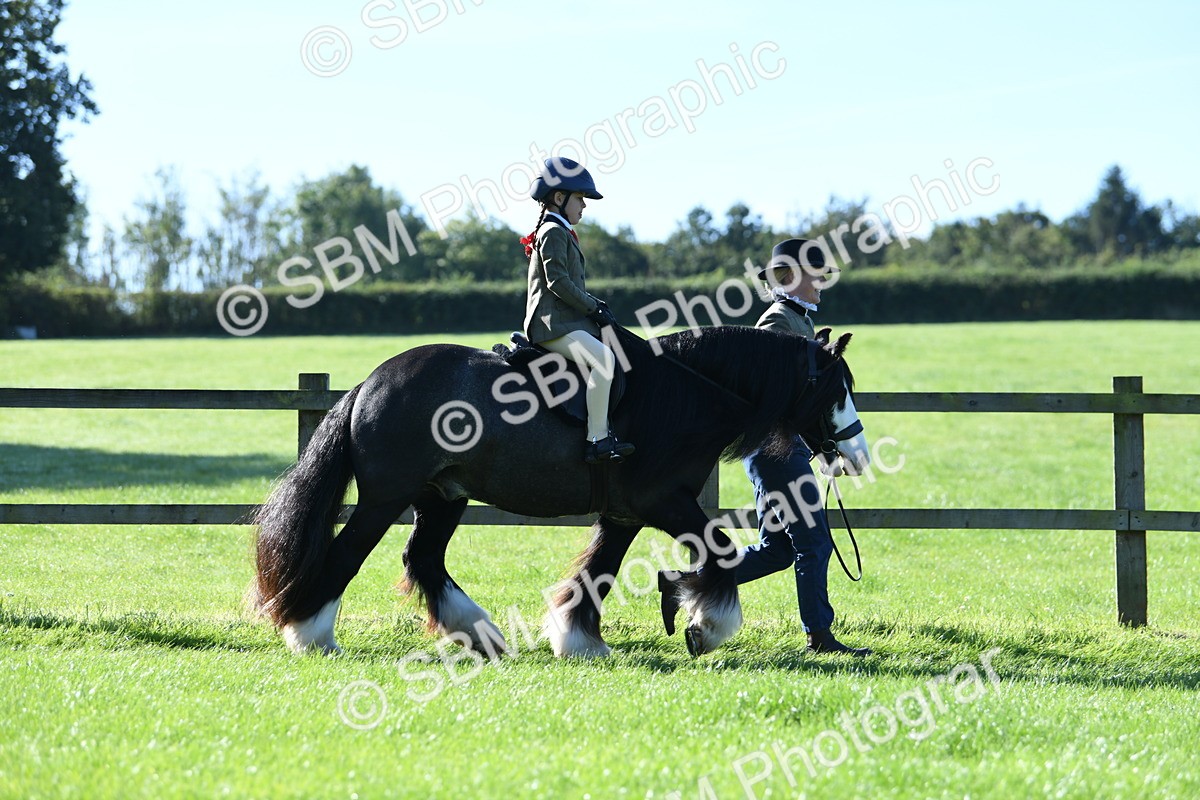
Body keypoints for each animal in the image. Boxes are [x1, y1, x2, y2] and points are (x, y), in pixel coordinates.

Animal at [252, 324, 869, 658]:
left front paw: (579, 639)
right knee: (347, 554)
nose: (858, 454)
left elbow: (599, 571)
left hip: (443, 495)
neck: (687, 394)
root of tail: (371, 381)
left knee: (423, 558)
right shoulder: (664, 502)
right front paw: (706, 626)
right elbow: (719, 553)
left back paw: (480, 634)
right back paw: (311, 634)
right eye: (837, 389)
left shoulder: (625, 514)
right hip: (385, 498)